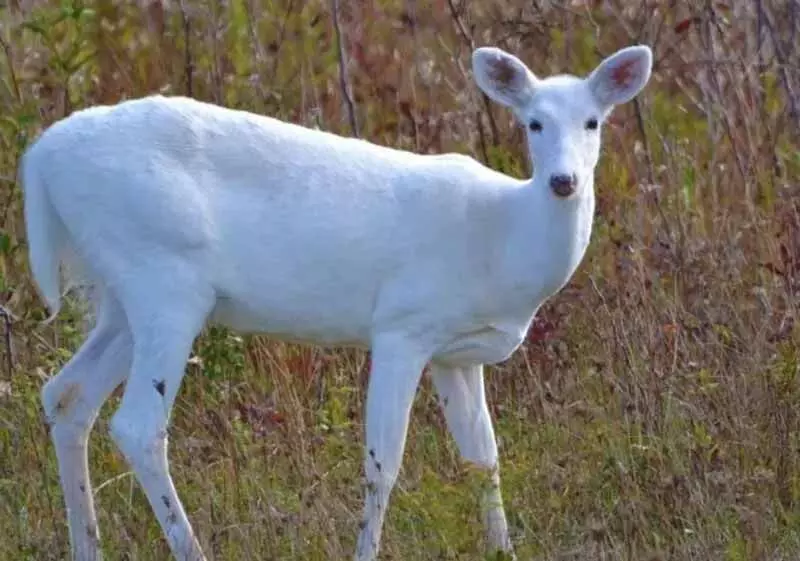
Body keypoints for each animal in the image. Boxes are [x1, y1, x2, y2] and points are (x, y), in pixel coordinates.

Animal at [21, 44, 652, 560]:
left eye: (593, 121)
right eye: (533, 122)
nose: (564, 181)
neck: (502, 239)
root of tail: (40, 157)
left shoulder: (457, 354)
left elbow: (483, 458)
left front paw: (503, 551)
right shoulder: (402, 325)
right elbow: (383, 463)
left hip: (122, 297)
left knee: (66, 395)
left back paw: (87, 547)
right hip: (165, 280)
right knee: (137, 427)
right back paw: (188, 548)